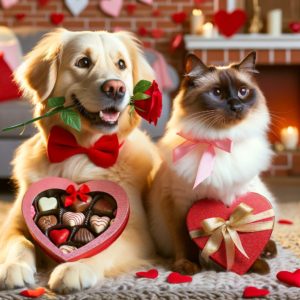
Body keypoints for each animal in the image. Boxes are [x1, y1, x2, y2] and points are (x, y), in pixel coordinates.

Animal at [0, 29, 159, 292]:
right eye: (83, 62)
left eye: (121, 64)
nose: (116, 88)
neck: (79, 153)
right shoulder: (14, 221)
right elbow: (19, 242)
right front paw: (13, 266)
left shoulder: (138, 233)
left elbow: (104, 246)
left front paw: (75, 267)